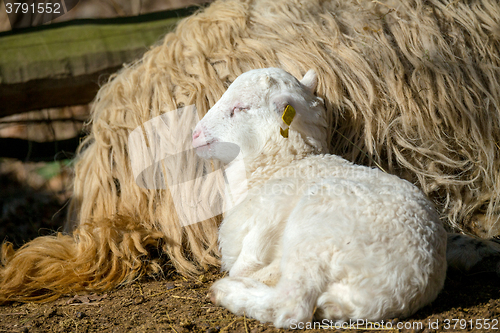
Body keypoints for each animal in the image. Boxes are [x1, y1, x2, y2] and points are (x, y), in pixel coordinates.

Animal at [190, 67, 488, 326]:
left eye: (241, 108)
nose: (194, 134)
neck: (282, 165)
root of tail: (400, 286)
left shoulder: (266, 220)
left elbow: (245, 263)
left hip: (315, 232)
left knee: (292, 306)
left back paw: (229, 290)